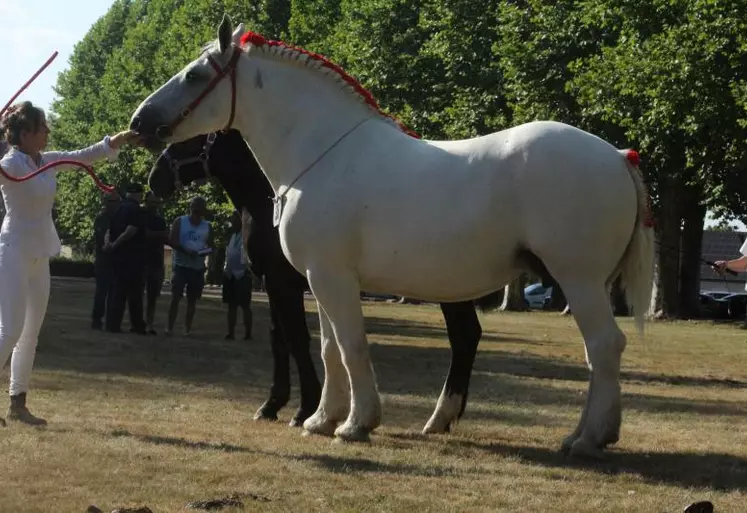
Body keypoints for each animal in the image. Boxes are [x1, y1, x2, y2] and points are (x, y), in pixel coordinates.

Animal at [149, 128, 502, 432]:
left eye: (187, 136)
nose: (155, 179)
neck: (272, 198)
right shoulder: (275, 285)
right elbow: (279, 339)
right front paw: (273, 404)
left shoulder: (284, 283)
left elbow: (297, 339)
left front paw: (305, 409)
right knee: (467, 336)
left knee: (463, 337)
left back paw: (439, 417)